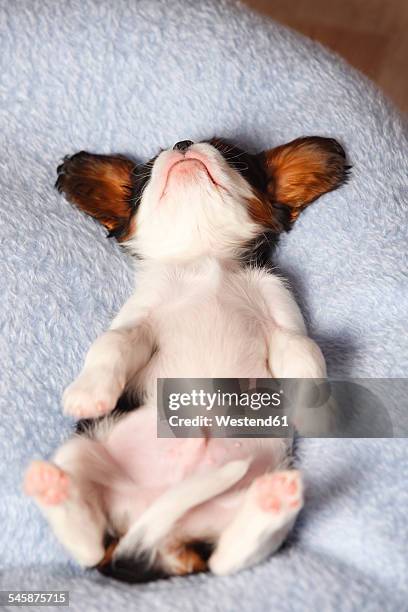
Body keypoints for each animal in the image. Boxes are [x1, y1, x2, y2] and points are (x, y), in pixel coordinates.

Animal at [23, 139, 348, 584]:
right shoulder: (139, 321)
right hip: (80, 450)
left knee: (226, 558)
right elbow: (110, 344)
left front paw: (316, 411)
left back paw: (272, 500)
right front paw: (88, 394)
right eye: (145, 174)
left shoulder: (281, 317)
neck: (201, 260)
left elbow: (305, 351)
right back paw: (50, 487)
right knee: (91, 547)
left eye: (233, 157)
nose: (182, 144)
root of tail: (159, 542)